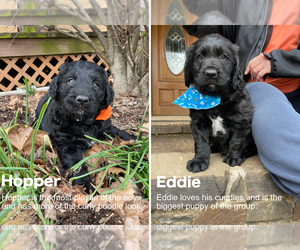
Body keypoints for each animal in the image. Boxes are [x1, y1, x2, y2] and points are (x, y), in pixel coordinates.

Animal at [33, 60, 135, 191]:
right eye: (70, 81)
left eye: (96, 84)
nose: (82, 99)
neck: (83, 123)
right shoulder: (68, 144)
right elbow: (78, 165)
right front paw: (84, 184)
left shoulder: (106, 129)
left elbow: (121, 134)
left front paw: (139, 141)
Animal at [175, 34, 256, 173]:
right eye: (200, 56)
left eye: (223, 56)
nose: (211, 74)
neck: (216, 97)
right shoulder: (198, 122)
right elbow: (201, 143)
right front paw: (199, 161)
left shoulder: (241, 120)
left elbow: (236, 141)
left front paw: (233, 158)